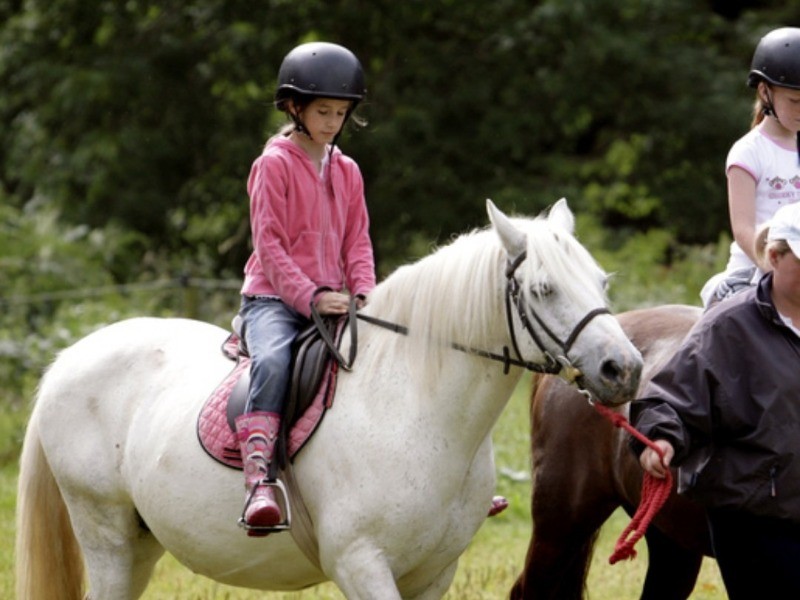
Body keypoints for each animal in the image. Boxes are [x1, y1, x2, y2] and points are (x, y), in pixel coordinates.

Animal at [15, 200, 644, 600]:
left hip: (141, 545)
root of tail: (66, 361)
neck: (415, 411)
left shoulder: (433, 574)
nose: (625, 369)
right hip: (107, 537)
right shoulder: (361, 564)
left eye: (601, 281)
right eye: (543, 289)